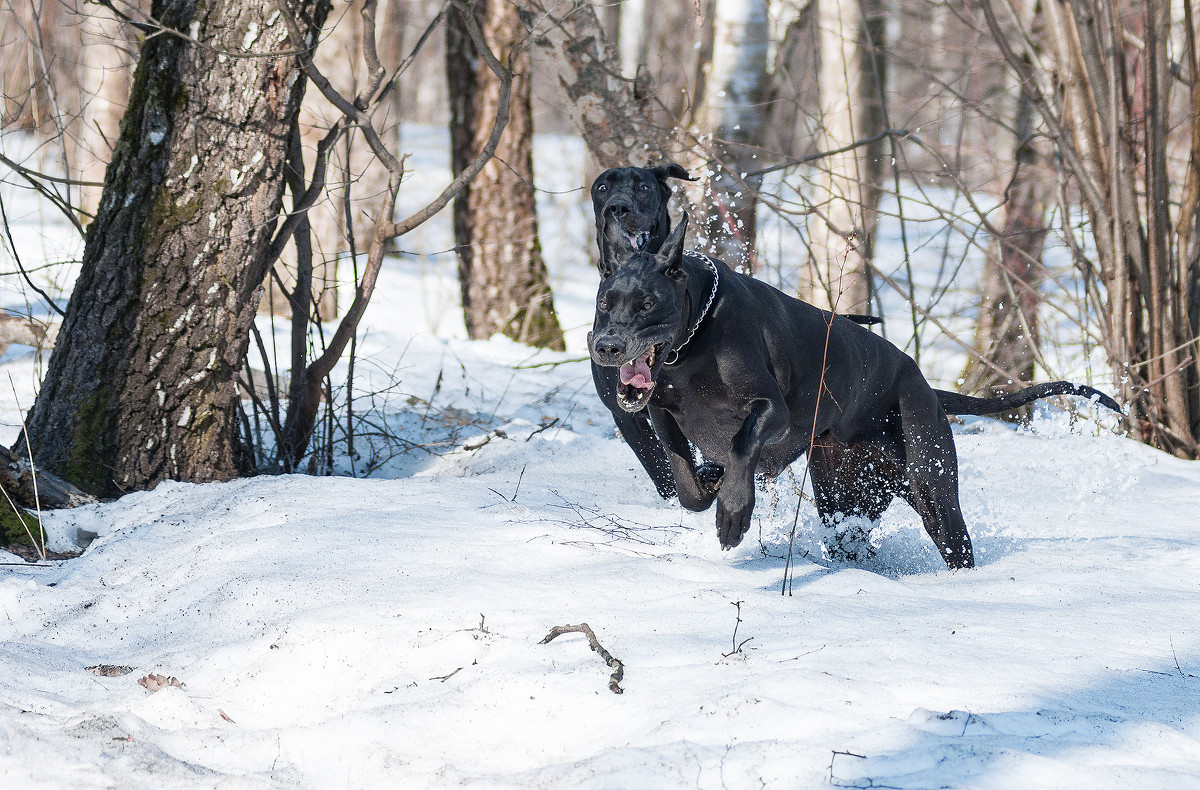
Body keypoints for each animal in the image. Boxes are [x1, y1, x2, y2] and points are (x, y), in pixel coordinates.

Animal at [585, 213, 1118, 566]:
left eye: (647, 304)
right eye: (604, 302)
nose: (607, 346)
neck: (691, 341)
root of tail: (926, 384)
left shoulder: (772, 409)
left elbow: (741, 445)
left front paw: (733, 510)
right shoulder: (660, 411)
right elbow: (684, 479)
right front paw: (708, 485)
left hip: (931, 486)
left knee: (953, 536)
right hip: (846, 497)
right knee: (851, 536)